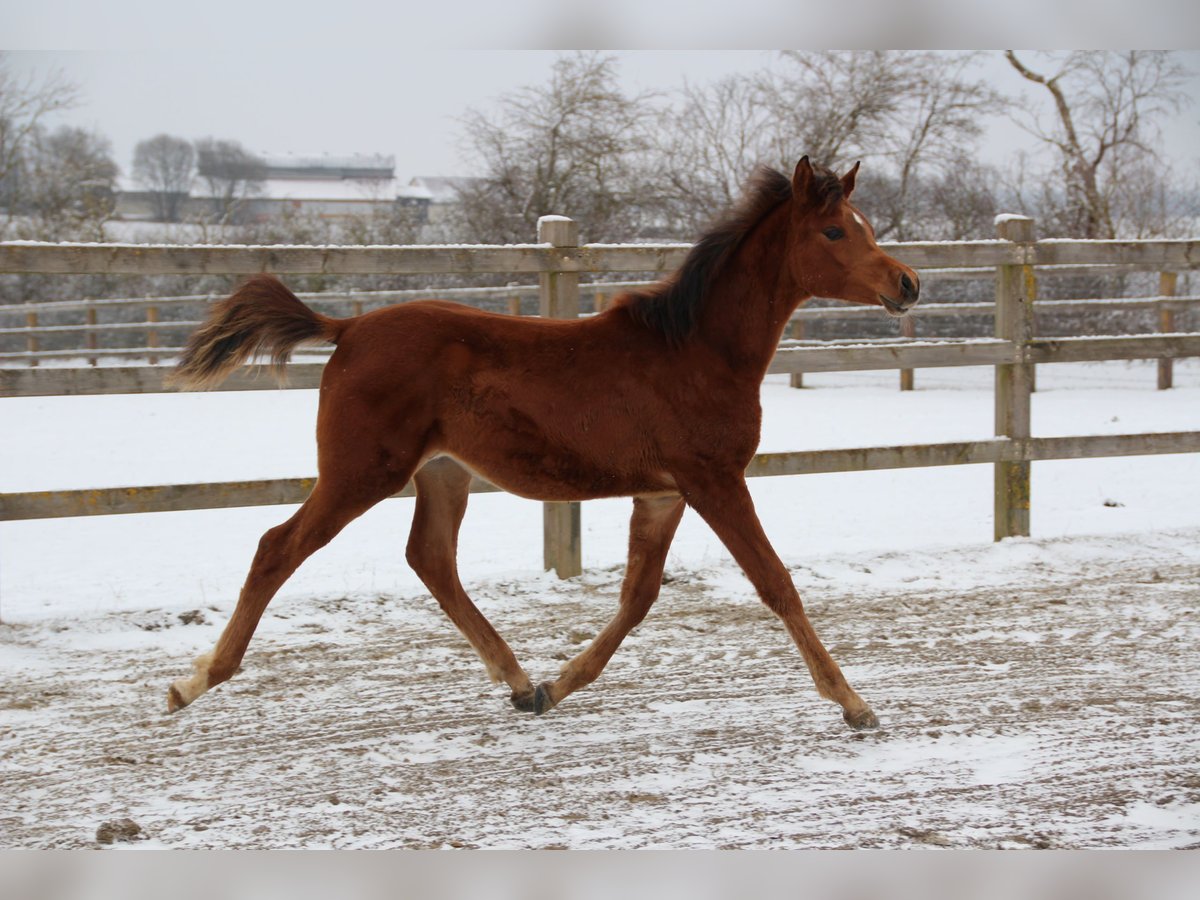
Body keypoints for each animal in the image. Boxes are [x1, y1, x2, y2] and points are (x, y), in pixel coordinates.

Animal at [166, 157, 916, 734]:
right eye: (833, 230)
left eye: (866, 227)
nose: (907, 283)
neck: (695, 350)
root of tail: (346, 328)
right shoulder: (716, 481)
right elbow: (775, 582)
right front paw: (855, 704)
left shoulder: (664, 493)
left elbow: (638, 596)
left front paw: (558, 686)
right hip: (361, 473)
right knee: (278, 548)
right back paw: (193, 683)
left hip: (443, 473)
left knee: (431, 559)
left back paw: (522, 682)